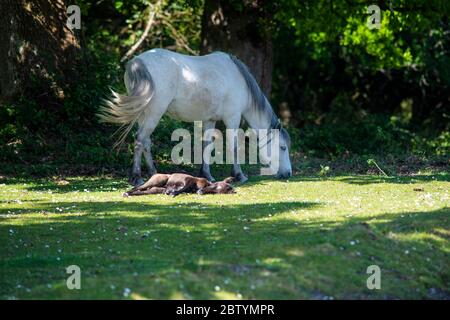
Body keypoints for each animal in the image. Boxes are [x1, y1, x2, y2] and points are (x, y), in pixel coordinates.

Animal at [99, 48, 292, 186]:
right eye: (282, 147)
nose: (288, 174)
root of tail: (138, 62)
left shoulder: (210, 120)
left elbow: (207, 145)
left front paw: (207, 174)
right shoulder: (233, 118)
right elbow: (234, 146)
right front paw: (239, 175)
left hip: (144, 114)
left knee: (145, 142)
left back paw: (154, 173)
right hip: (154, 113)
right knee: (140, 140)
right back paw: (137, 177)